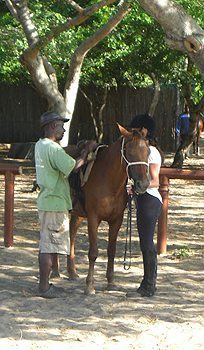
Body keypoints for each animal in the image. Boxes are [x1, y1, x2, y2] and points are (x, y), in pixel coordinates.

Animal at [64, 124, 150, 294]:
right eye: (130, 152)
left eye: (148, 152)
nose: (143, 184)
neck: (108, 181)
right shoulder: (93, 218)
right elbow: (93, 252)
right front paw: (89, 285)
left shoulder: (116, 220)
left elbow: (111, 250)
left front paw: (111, 281)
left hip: (78, 214)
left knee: (71, 234)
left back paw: (72, 271)